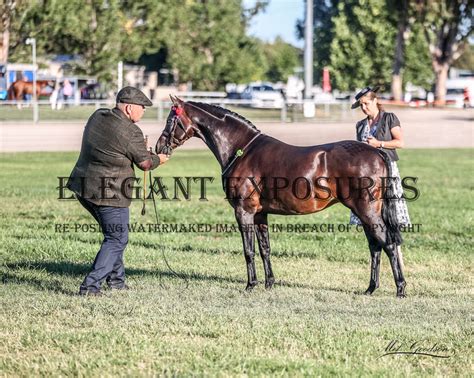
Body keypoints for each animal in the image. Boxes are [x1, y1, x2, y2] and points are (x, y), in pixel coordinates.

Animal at [156, 96, 408, 296]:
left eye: (170, 120)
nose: (159, 147)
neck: (242, 151)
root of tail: (377, 152)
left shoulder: (243, 212)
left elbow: (249, 250)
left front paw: (251, 284)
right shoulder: (260, 214)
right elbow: (265, 248)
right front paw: (269, 283)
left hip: (366, 210)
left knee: (387, 244)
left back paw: (400, 288)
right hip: (363, 211)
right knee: (375, 246)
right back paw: (370, 288)